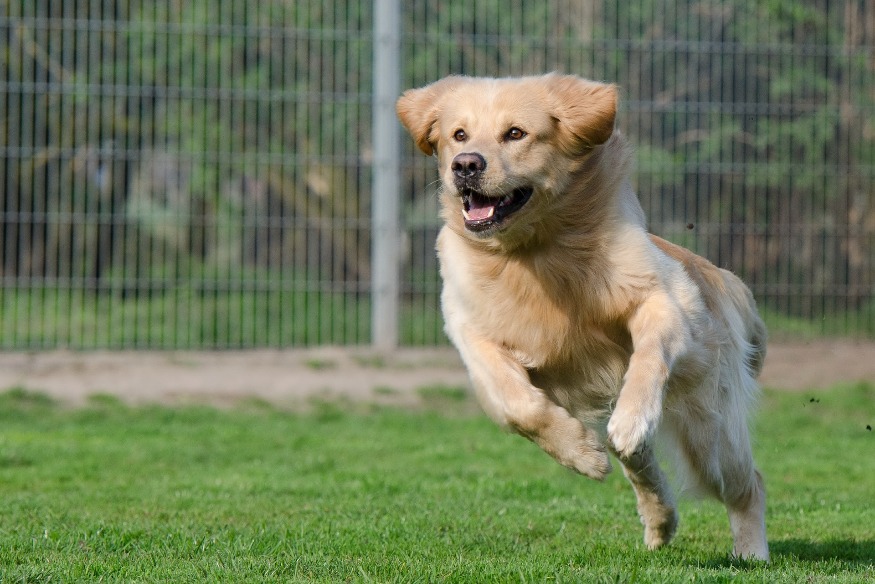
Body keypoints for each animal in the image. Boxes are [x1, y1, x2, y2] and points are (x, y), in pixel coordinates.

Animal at [396, 73, 769, 560]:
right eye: (459, 135)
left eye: (515, 133)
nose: (465, 165)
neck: (534, 250)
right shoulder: (469, 330)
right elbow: (518, 405)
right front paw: (584, 454)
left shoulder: (664, 296)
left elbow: (648, 356)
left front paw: (631, 417)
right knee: (639, 463)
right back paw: (659, 521)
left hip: (710, 431)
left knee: (746, 484)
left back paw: (750, 551)